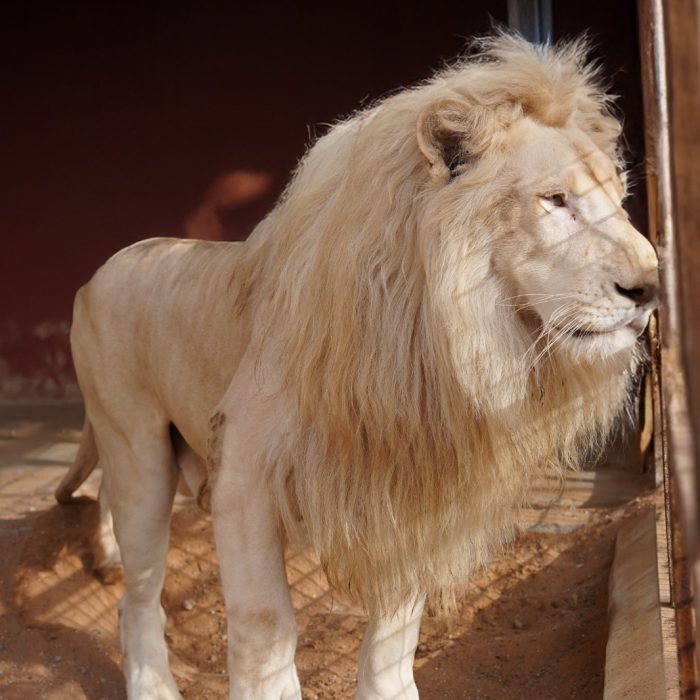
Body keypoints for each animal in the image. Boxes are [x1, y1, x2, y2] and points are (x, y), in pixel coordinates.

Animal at [55, 34, 658, 700]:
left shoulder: (414, 485)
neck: (436, 339)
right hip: (138, 451)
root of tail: (97, 272)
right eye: (556, 200)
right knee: (137, 595)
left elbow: (396, 630)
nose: (651, 287)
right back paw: (150, 678)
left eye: (619, 201)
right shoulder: (244, 475)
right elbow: (267, 623)